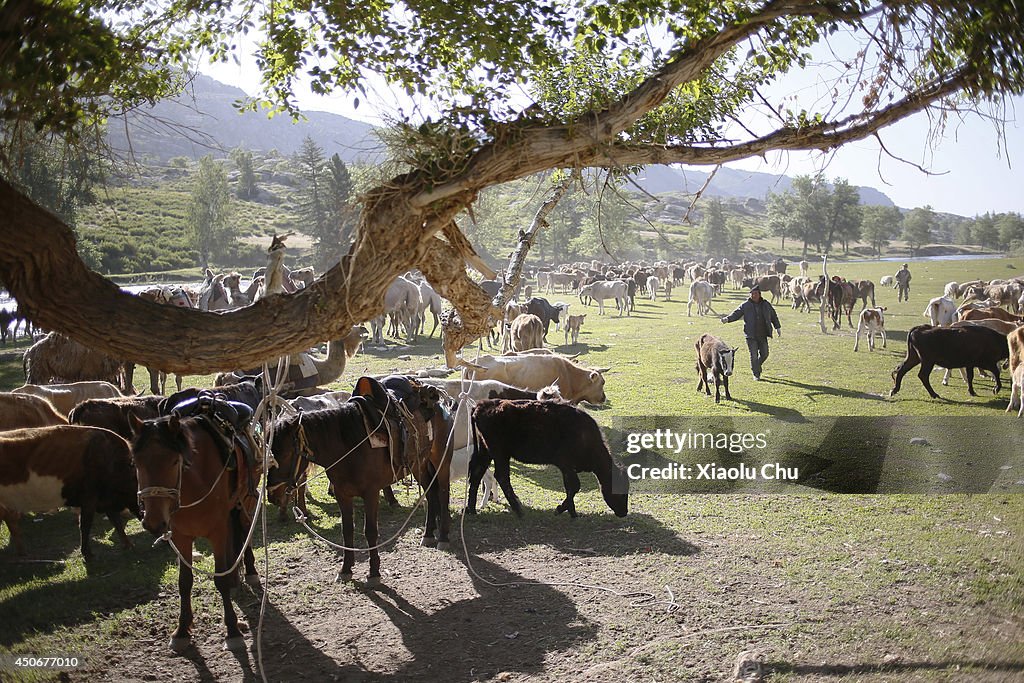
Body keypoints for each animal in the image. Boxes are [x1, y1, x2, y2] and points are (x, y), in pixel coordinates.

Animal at [0, 428, 140, 561]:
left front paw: (129, 545)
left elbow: (116, 521)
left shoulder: (105, 499)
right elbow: (85, 525)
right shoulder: (89, 498)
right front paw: (89, 555)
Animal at [128, 397, 262, 655]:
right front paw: (181, 631)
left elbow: (219, 579)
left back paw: (249, 571)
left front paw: (233, 631)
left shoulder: (217, 532)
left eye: (174, 461)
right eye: (136, 462)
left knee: (245, 529)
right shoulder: (181, 536)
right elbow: (184, 582)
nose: (153, 521)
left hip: (246, 499)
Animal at [268, 376, 452, 585]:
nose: (272, 494)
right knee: (431, 493)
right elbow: (347, 530)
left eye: (285, 455)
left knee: (443, 493)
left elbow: (370, 531)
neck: (349, 444)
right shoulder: (342, 494)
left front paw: (374, 573)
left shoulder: (371, 493)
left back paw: (443, 537)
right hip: (419, 465)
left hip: (441, 461)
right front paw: (346, 569)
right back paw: (428, 534)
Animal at [468, 397, 626, 516]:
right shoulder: (566, 465)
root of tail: (480, 405)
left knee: (477, 473)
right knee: (501, 476)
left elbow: (570, 488)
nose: (624, 512)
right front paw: (561, 510)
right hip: (500, 454)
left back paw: (472, 510)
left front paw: (572, 512)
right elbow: (574, 486)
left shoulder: (567, 468)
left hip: (486, 451)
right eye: (621, 492)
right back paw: (518, 510)